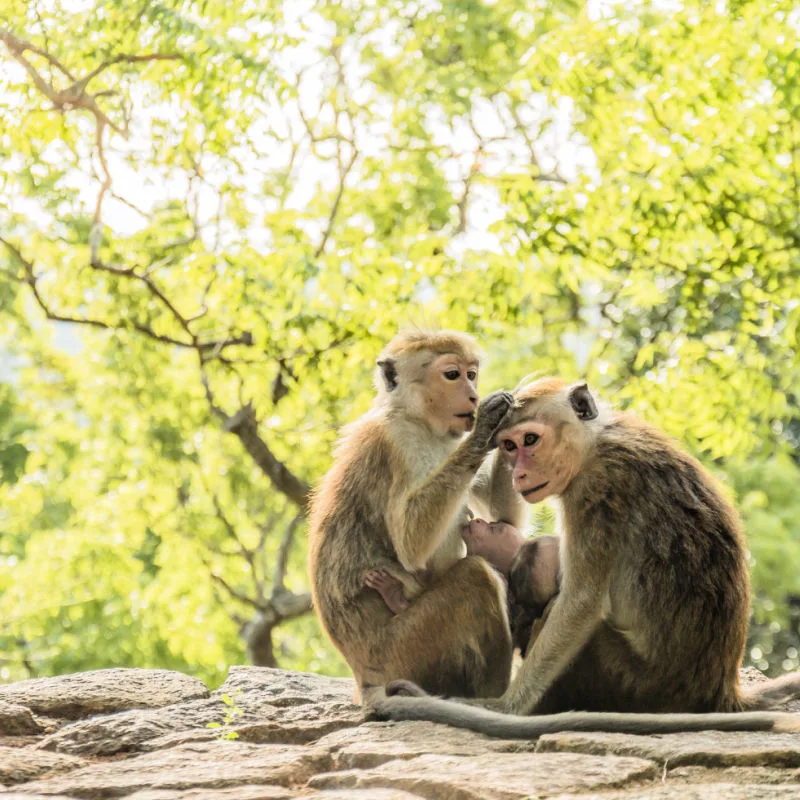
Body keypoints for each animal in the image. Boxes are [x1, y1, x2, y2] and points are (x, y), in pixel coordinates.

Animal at [308, 329, 525, 702]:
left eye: (472, 373)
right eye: (452, 374)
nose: (472, 394)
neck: (417, 419)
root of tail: (362, 679)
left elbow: (504, 519)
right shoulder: (399, 445)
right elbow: (411, 545)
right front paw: (486, 426)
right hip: (402, 653)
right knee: (475, 576)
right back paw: (493, 695)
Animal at [371, 377, 800, 735]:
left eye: (530, 440)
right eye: (509, 446)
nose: (519, 474)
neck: (595, 444)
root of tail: (720, 690)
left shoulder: (597, 490)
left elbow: (580, 601)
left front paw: (502, 707)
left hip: (631, 683)